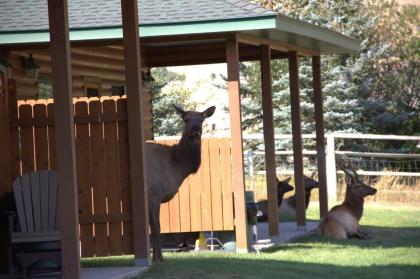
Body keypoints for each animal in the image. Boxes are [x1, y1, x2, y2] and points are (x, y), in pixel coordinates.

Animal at [145, 105, 217, 262]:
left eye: (201, 119)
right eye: (185, 119)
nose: (195, 128)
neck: (177, 166)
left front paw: (155, 257)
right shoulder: (154, 194)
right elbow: (156, 227)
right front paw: (159, 259)